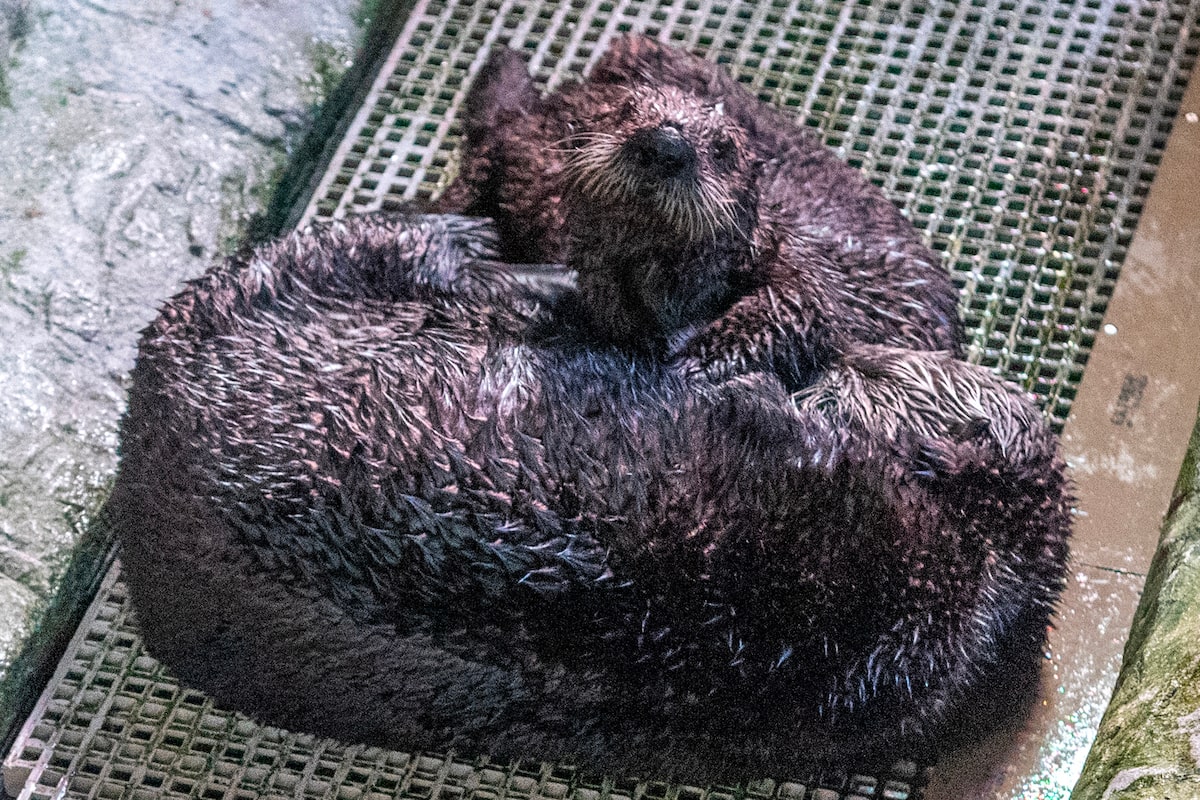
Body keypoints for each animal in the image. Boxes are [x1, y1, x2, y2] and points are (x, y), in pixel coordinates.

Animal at [112, 212, 1071, 781]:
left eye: (874, 374)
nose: (848, 357)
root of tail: (140, 437)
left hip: (291, 297)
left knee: (372, 253)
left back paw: (509, 265)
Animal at [436, 36, 963, 389]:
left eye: (724, 149)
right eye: (626, 112)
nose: (665, 145)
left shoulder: (797, 261)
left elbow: (800, 308)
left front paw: (694, 361)